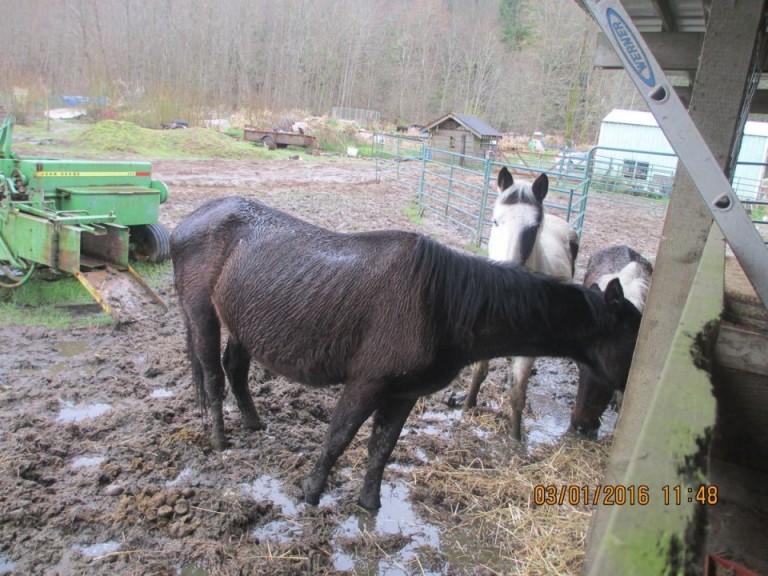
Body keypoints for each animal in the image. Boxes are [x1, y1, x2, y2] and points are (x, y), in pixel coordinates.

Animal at [171, 196, 641, 510]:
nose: (592, 423)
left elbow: (382, 448)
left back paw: (253, 423)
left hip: (242, 323)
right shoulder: (366, 383)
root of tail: (190, 220)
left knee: (235, 369)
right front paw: (310, 492)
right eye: (632, 339)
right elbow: (338, 438)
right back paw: (220, 440)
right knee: (212, 375)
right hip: (202, 314)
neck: (443, 303)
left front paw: (369, 505)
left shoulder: (404, 393)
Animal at [464, 167, 579, 441]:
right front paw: (468, 405)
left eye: (533, 227)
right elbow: (479, 372)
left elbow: (518, 394)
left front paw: (515, 438)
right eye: (495, 221)